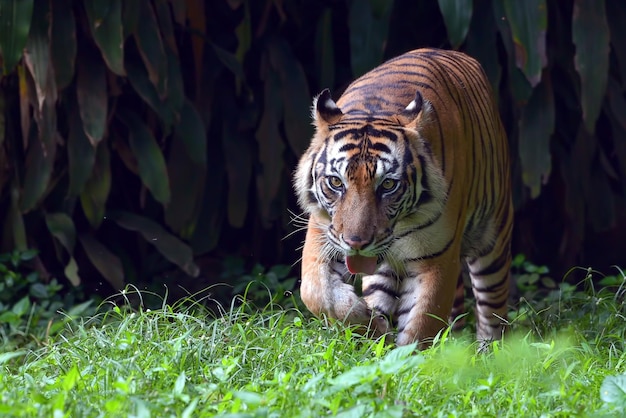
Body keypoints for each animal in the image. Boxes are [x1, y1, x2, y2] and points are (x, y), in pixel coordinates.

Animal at [292, 47, 512, 348]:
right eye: (336, 182)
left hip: (494, 238)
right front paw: (369, 325)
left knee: (492, 312)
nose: (356, 243)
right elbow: (317, 292)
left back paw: (489, 352)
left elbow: (422, 322)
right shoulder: (322, 232)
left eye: (388, 185)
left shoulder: (437, 257)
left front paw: (408, 357)